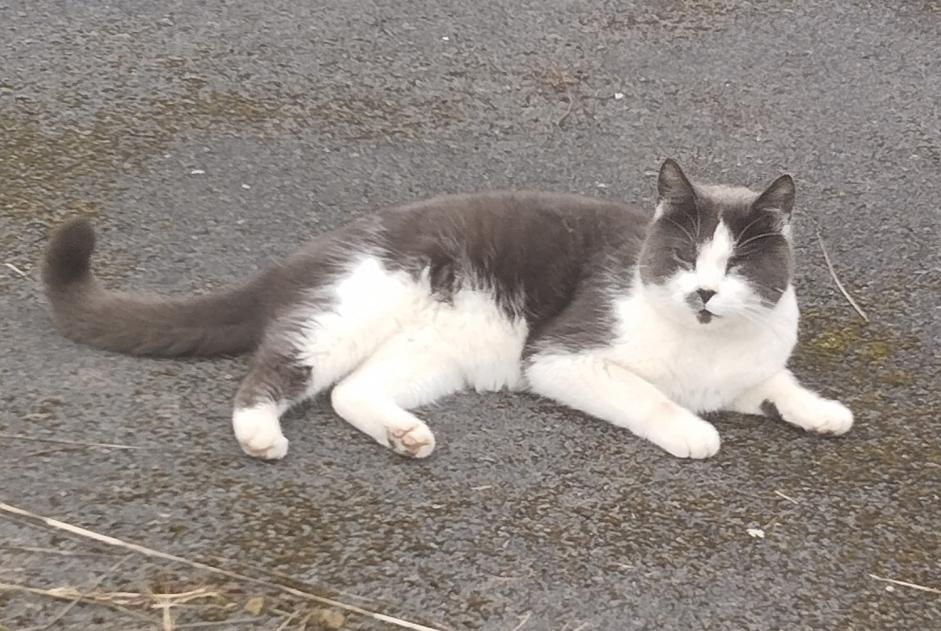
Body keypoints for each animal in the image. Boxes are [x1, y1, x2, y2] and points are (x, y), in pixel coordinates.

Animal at [42, 160, 852, 462]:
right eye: (685, 258)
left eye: (737, 264)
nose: (704, 293)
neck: (703, 345)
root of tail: (310, 251)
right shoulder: (561, 355)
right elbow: (647, 395)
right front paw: (691, 430)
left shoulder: (747, 368)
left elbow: (775, 383)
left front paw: (821, 411)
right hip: (346, 315)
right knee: (274, 372)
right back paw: (262, 435)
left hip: (434, 354)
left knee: (351, 393)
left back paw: (404, 433)